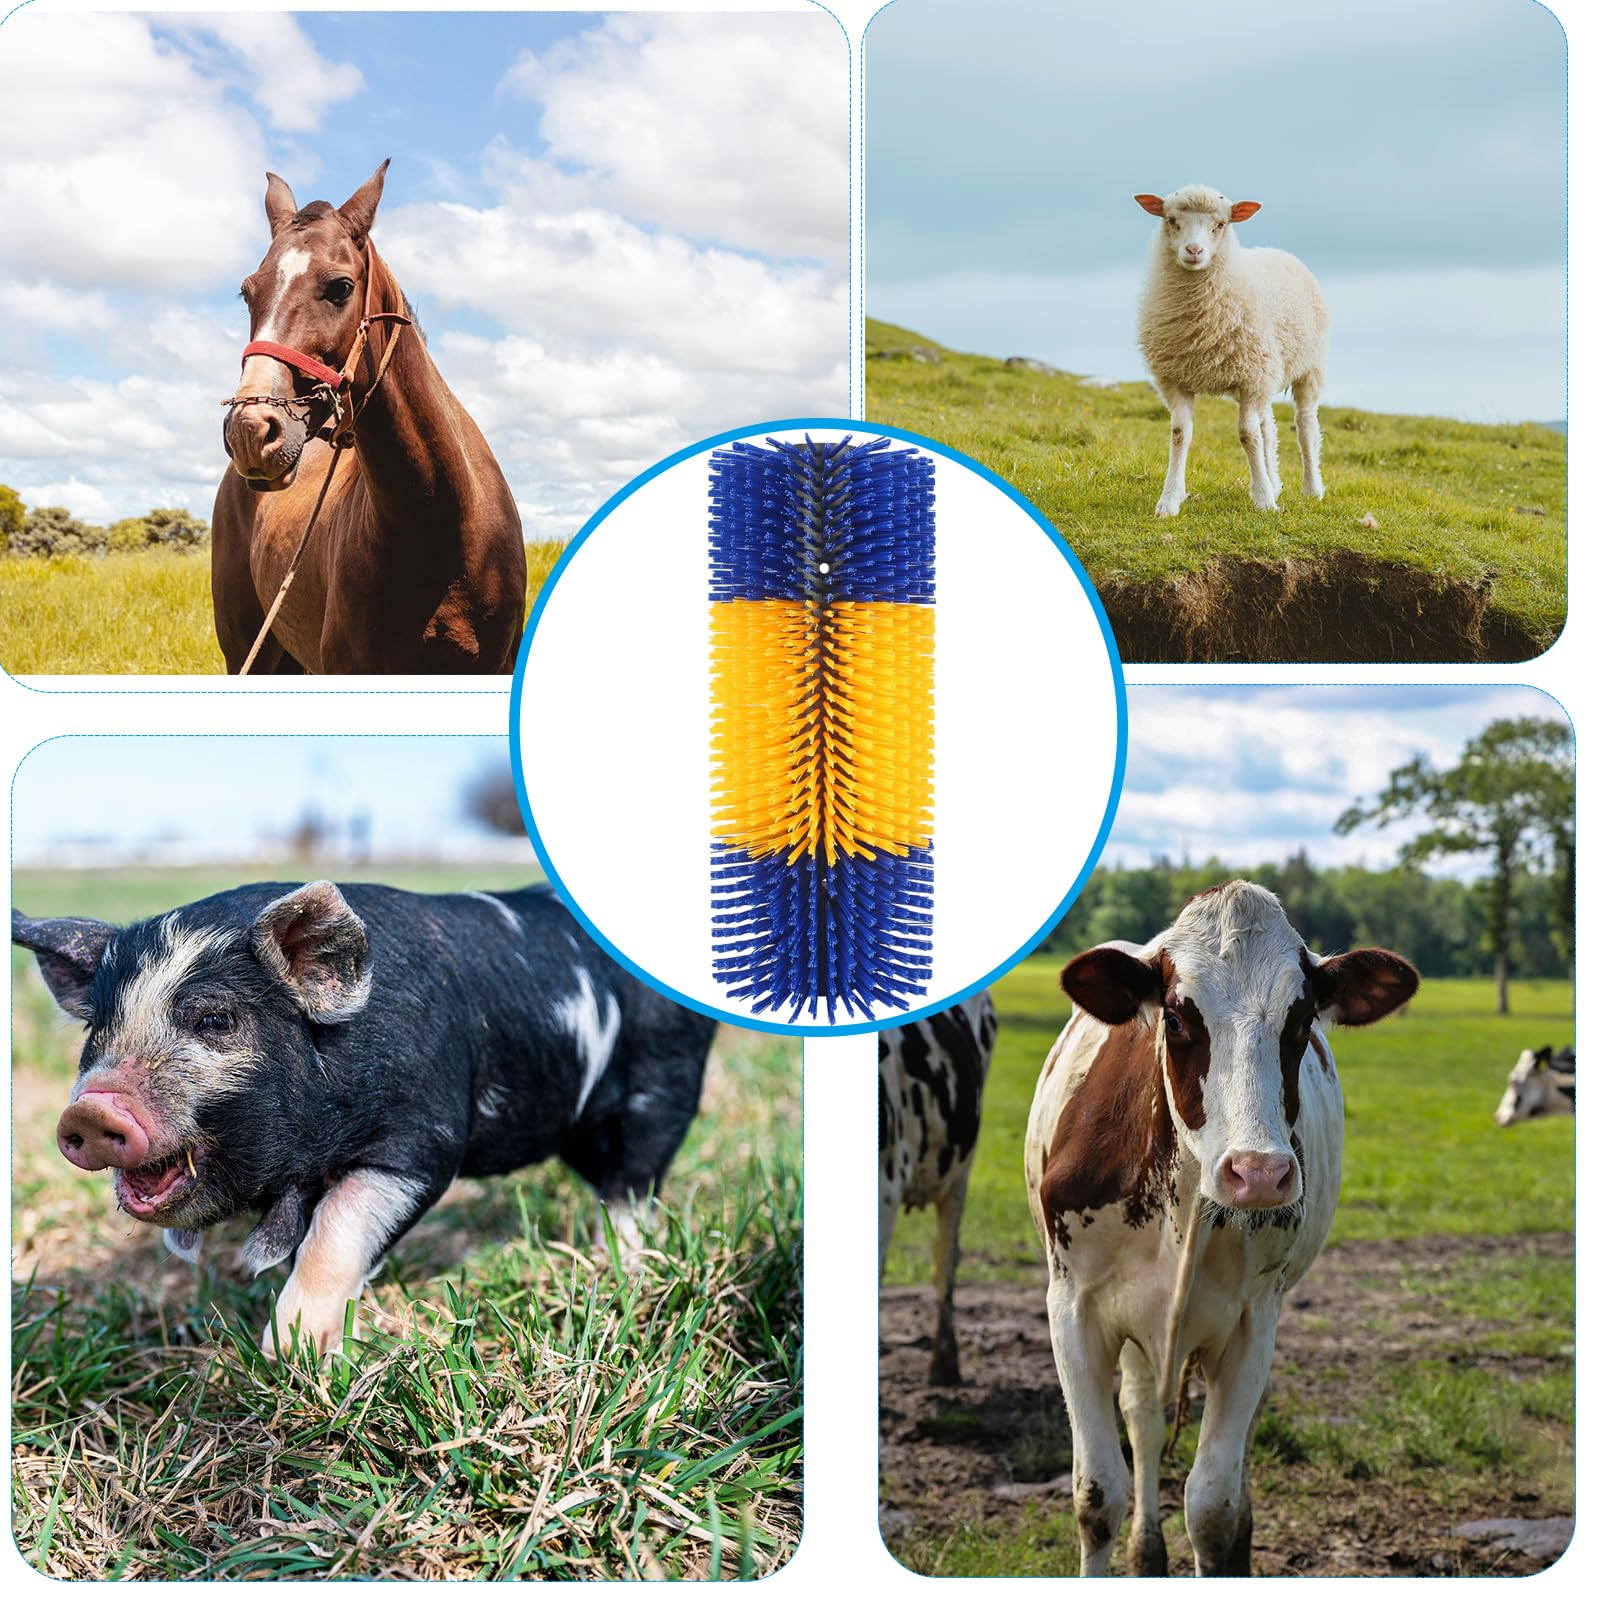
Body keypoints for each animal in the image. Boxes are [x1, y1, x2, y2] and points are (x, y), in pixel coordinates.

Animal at [1024, 881, 1418, 1576]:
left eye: (1301, 1020)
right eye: (1177, 1018)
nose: (1257, 1173)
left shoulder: (1252, 1320)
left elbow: (1212, 1504)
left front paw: (1227, 1541)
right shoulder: (1072, 1305)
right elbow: (1098, 1494)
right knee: (1143, 1418)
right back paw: (1147, 1551)